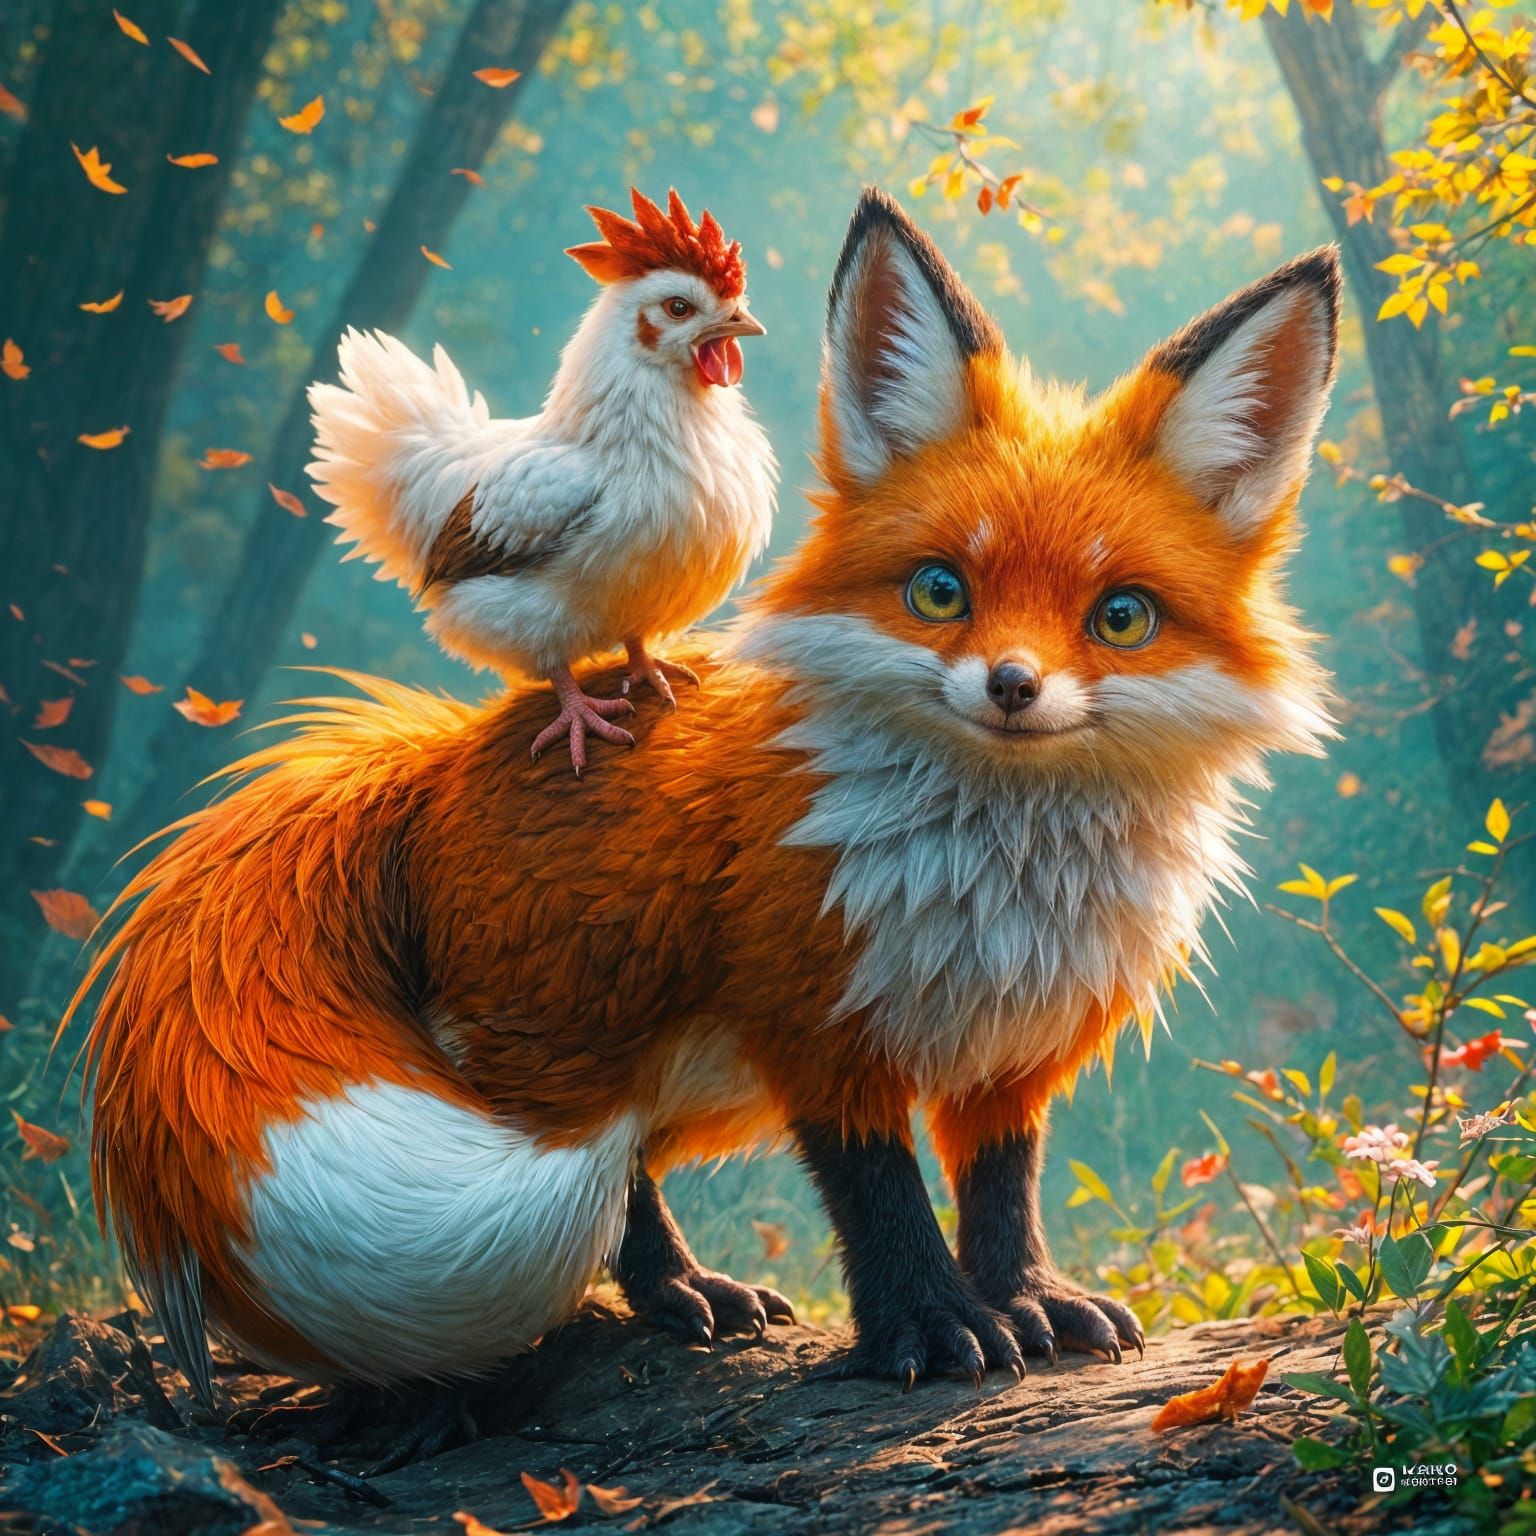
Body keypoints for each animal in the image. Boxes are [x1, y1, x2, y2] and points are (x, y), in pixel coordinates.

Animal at [70, 190, 1337, 1431]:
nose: (1013, 687)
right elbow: (879, 1195)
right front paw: (934, 1329)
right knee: (612, 1176)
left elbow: (1000, 1191)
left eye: (1121, 617)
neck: (993, 889)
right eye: (941, 592)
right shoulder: (817, 1021)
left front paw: (1028, 1299)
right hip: (575, 1035)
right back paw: (663, 1295)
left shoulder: (1015, 1051)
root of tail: (435, 753)